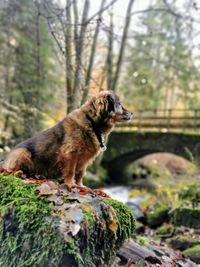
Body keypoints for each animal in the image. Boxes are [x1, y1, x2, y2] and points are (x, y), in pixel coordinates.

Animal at [1, 91, 133, 191]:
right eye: (119, 104)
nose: (132, 113)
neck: (92, 122)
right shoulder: (70, 154)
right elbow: (71, 171)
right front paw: (70, 184)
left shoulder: (83, 159)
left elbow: (80, 174)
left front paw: (80, 186)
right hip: (22, 152)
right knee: (8, 171)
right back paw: (19, 173)